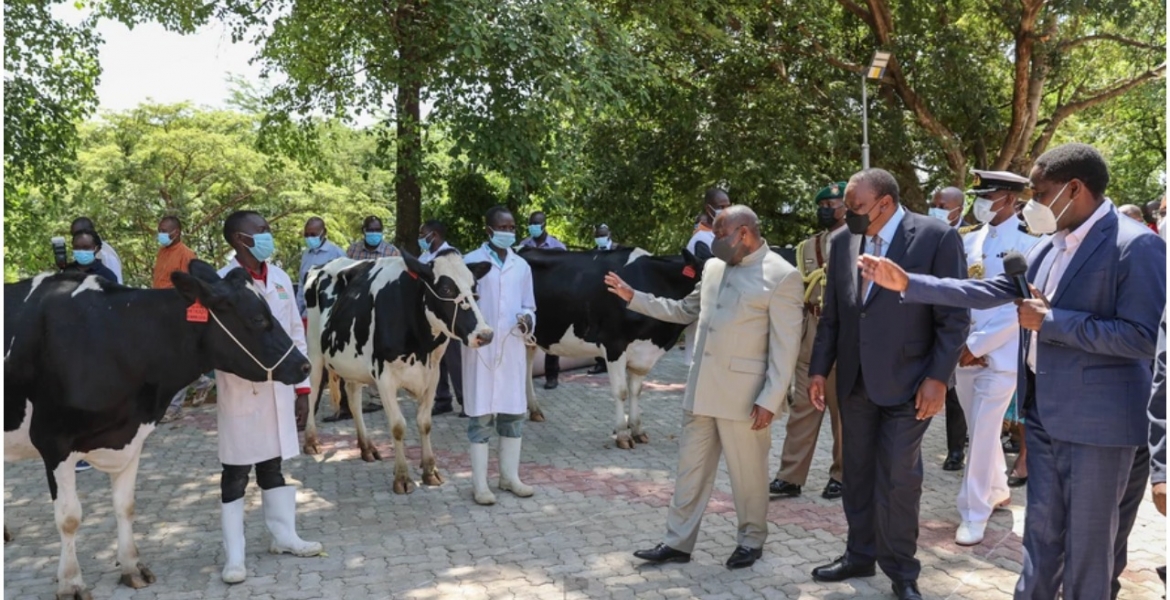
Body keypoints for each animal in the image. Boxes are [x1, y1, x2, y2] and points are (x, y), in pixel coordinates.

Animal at [2, 261, 311, 598]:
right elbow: (69, 518)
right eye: (257, 318)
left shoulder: (131, 436)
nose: (304, 365)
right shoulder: (54, 442)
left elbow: (125, 506)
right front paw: (71, 583)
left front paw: (131, 566)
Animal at [304, 250, 491, 493]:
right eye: (446, 289)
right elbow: (398, 427)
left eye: (474, 285)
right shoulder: (385, 376)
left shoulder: (433, 374)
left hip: (352, 360)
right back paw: (311, 441)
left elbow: (425, 423)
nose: (485, 334)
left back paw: (367, 447)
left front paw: (430, 471)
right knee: (312, 389)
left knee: (354, 399)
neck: (421, 344)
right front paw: (402, 478)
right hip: (315, 350)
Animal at [521, 245, 702, 446]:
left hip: (530, 337)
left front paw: (637, 430)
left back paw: (534, 410)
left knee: (526, 367)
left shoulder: (642, 352)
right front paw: (622, 434)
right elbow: (621, 391)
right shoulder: (614, 345)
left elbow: (636, 391)